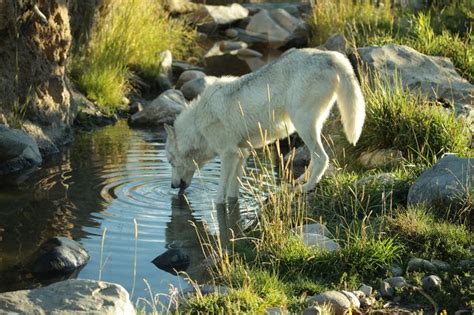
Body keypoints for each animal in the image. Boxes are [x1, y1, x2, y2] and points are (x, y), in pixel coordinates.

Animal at [165, 48, 364, 204]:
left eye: (170, 162)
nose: (172, 186)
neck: (198, 125)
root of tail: (330, 56)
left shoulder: (229, 154)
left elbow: (220, 196)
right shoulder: (242, 153)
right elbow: (232, 193)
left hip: (303, 125)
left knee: (322, 158)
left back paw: (306, 188)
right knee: (316, 159)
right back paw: (300, 183)